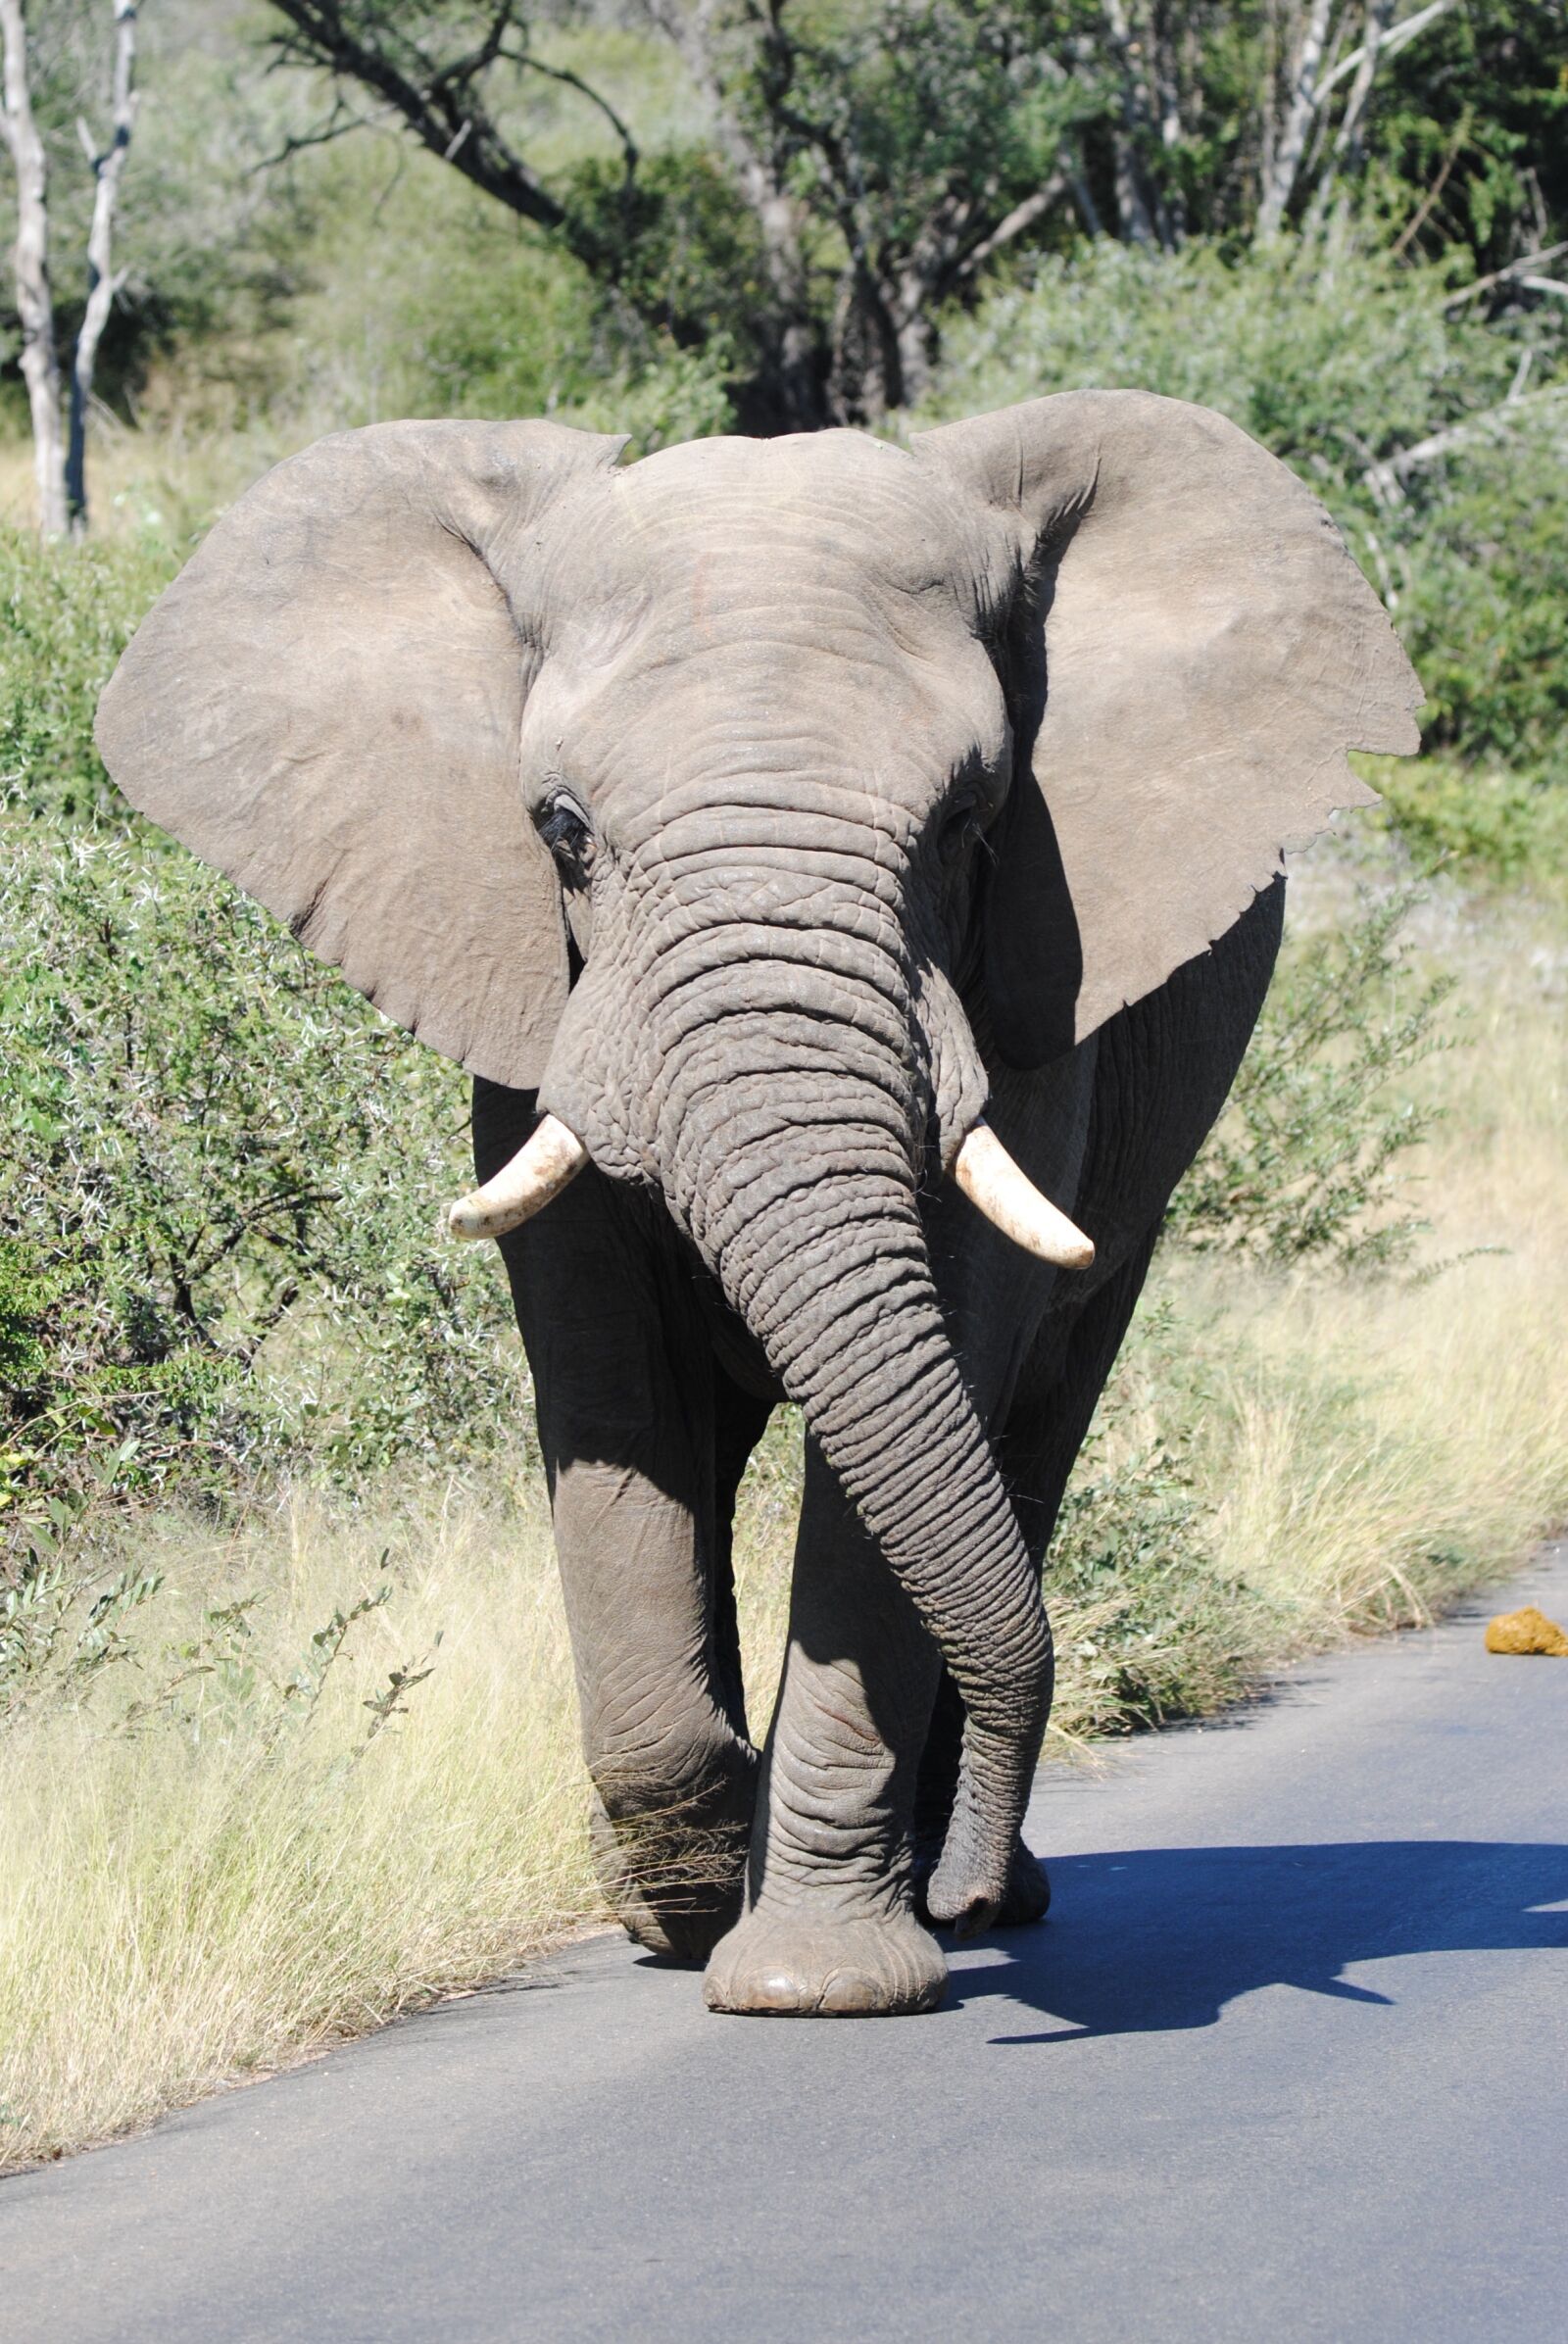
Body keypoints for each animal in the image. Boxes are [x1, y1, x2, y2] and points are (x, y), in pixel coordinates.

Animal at [96, 391, 1420, 2017]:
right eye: (561, 829)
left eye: (970, 819)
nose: (967, 1885)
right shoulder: (536, 1009)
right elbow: (618, 1402)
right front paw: (683, 1886)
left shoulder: (1032, 1005)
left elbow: (917, 1408)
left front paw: (810, 1976)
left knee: (1030, 1435)